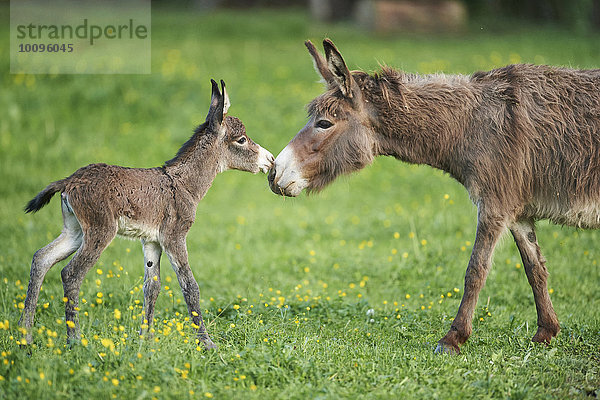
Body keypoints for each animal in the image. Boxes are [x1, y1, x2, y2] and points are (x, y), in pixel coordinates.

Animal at [18, 79, 272, 348]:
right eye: (241, 140)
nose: (270, 160)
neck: (183, 184)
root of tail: (69, 180)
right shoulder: (174, 236)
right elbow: (190, 286)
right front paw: (206, 343)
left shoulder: (152, 241)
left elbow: (152, 286)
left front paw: (146, 340)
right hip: (100, 230)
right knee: (71, 273)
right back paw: (74, 341)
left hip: (75, 231)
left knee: (41, 258)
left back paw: (25, 337)